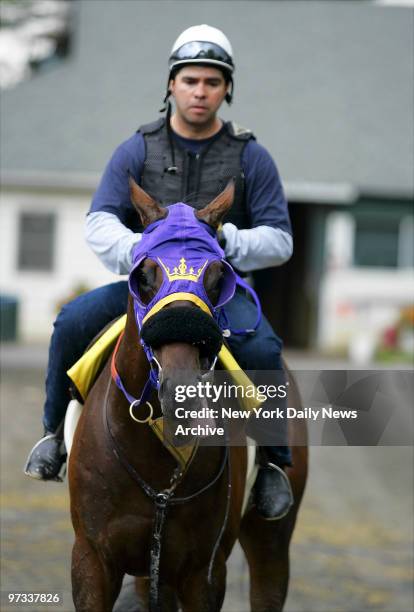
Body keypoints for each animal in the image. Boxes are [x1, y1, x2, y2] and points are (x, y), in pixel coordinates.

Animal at [68, 180, 308, 612]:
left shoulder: (203, 572)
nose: (180, 388)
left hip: (271, 541)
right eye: (144, 277)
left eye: (217, 280)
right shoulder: (92, 559)